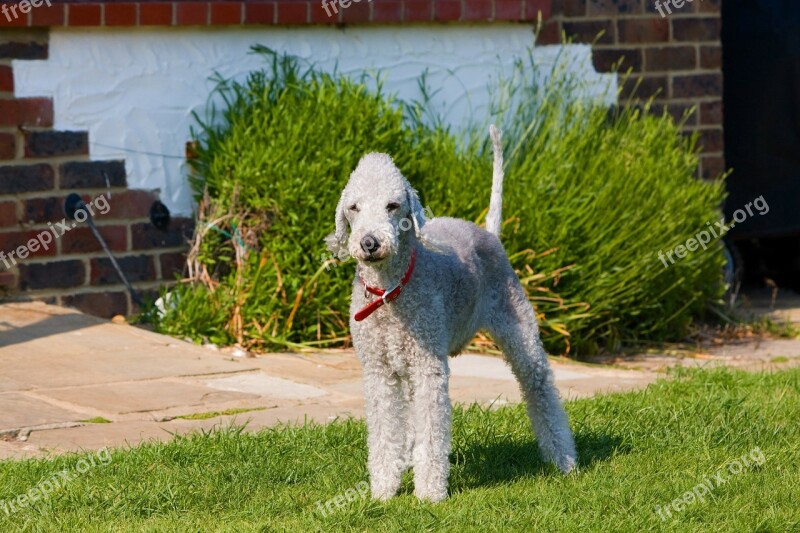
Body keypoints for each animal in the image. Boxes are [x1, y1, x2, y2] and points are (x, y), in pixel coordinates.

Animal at [324, 127, 576, 500]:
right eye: (353, 208)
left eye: (392, 205)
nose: (369, 243)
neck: (391, 291)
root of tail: (488, 232)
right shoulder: (379, 370)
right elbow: (385, 431)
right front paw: (383, 490)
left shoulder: (429, 366)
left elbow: (432, 431)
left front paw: (429, 493)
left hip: (518, 327)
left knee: (540, 387)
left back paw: (564, 459)